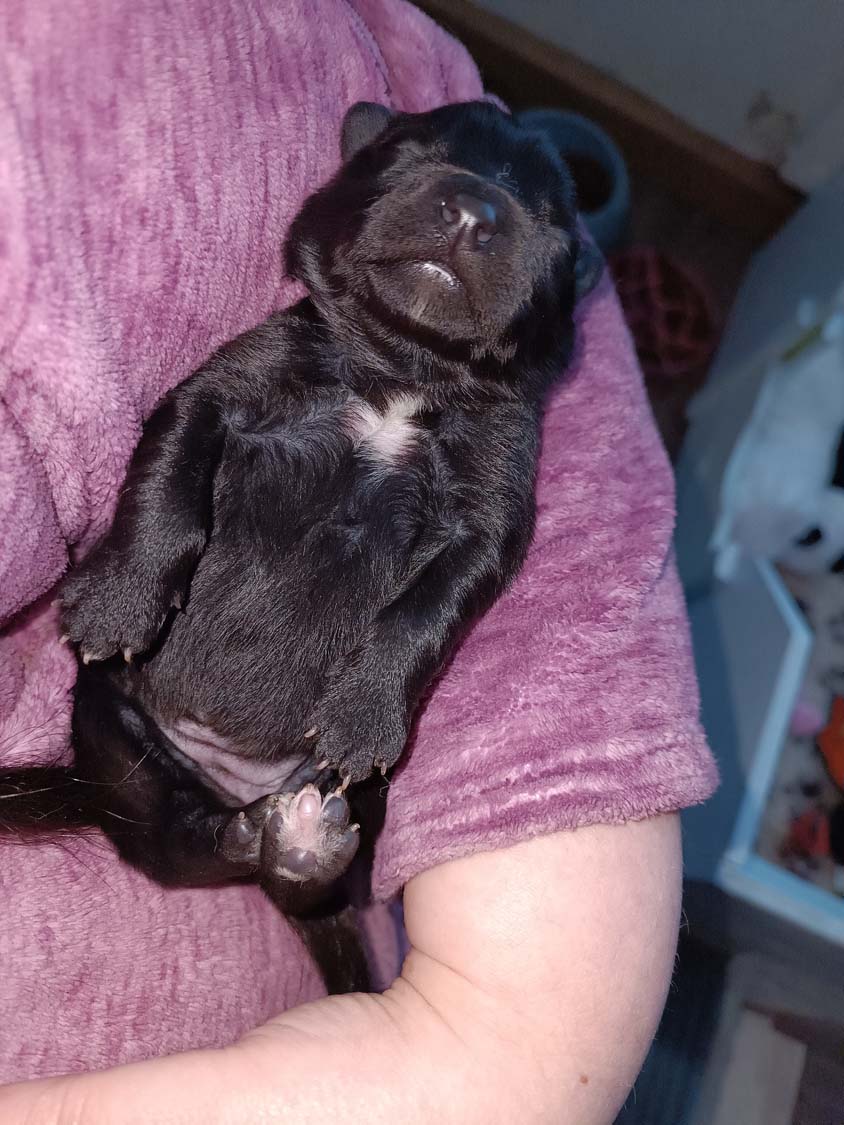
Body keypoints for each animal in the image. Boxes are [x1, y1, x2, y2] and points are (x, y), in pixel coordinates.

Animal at [0, 100, 603, 993]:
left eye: (553, 218)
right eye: (407, 153)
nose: (476, 209)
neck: (404, 371)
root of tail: (234, 782)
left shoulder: (491, 515)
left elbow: (424, 611)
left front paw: (362, 710)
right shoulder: (220, 388)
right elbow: (169, 485)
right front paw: (120, 600)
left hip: (365, 795)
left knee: (284, 866)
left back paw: (303, 844)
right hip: (112, 731)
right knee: (183, 845)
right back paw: (253, 834)